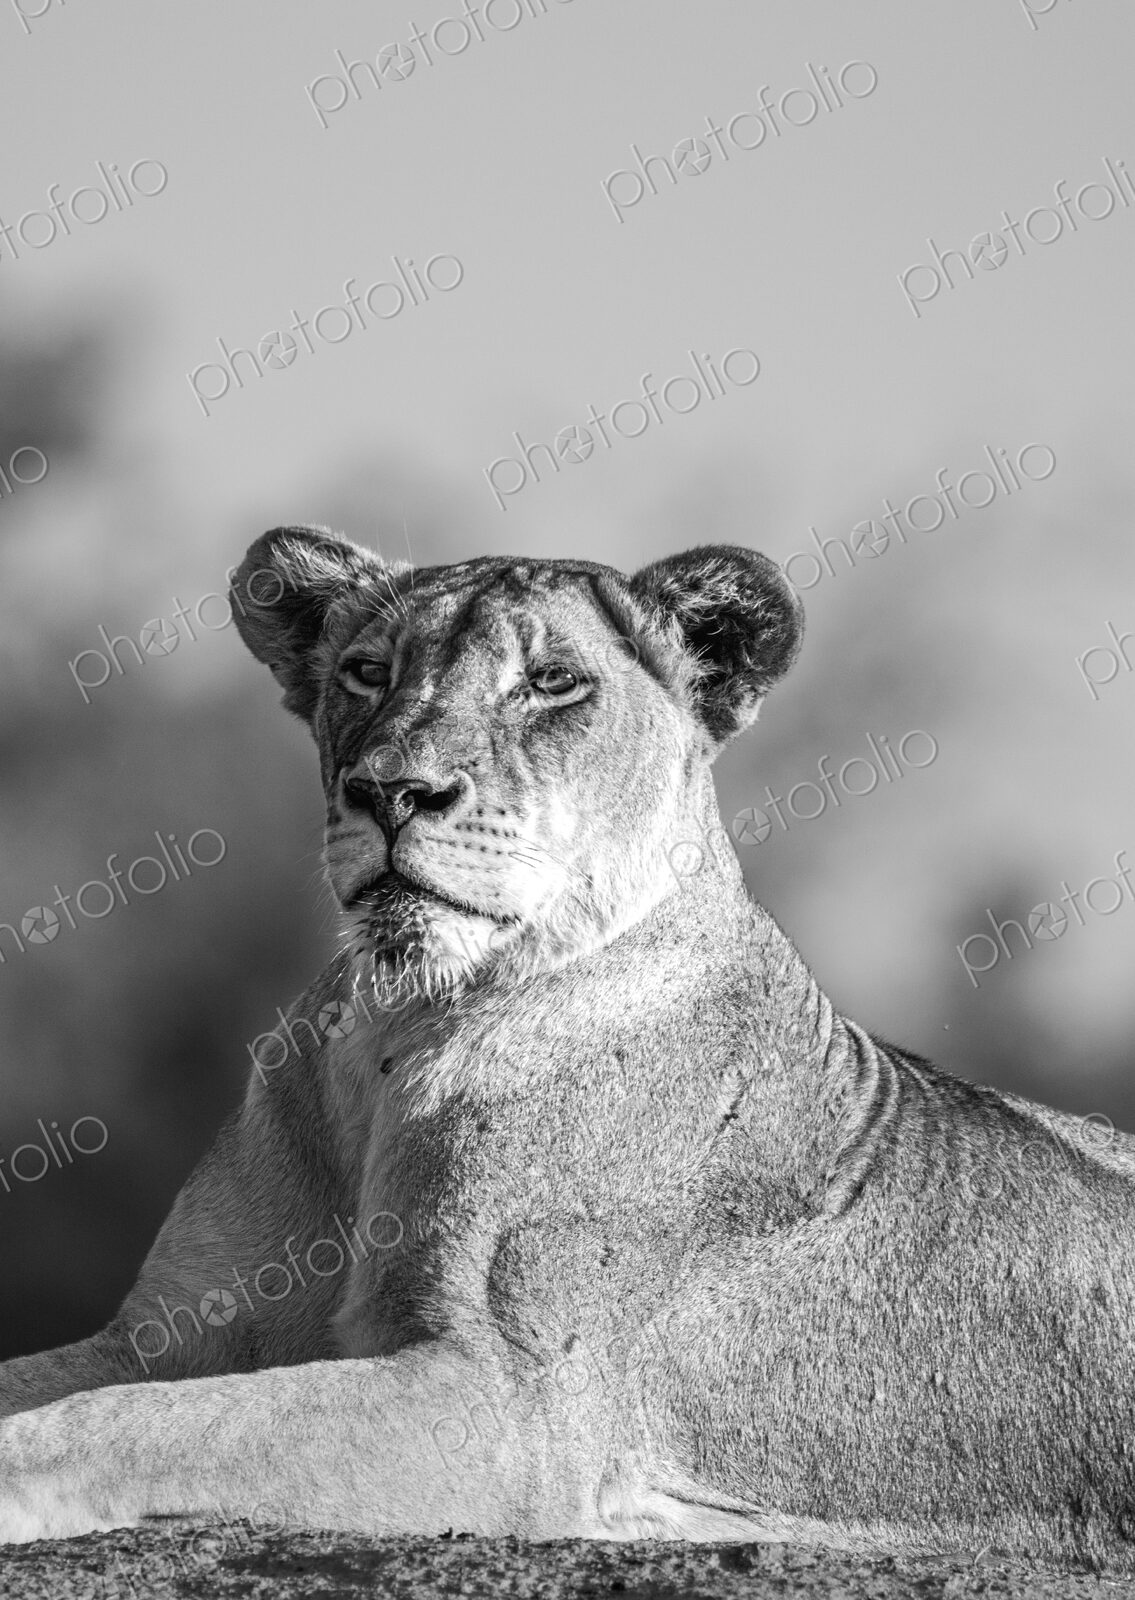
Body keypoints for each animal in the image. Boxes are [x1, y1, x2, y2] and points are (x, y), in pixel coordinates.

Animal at [3, 527, 1135, 1566]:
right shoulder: (162, 1333)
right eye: (367, 672)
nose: (391, 792)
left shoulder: (510, 1405)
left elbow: (143, 1426)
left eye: (551, 684)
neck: (395, 1028)